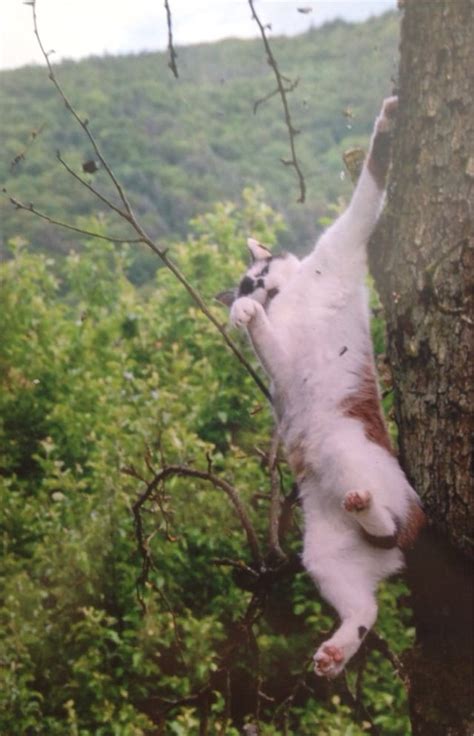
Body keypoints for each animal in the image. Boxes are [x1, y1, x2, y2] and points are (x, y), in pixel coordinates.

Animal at [218, 98, 426, 680]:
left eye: (259, 272)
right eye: (247, 283)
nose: (256, 290)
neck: (289, 297)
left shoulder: (346, 237)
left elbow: (370, 182)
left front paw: (387, 119)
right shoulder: (280, 368)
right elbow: (264, 336)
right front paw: (245, 316)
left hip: (341, 451)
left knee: (396, 524)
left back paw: (366, 505)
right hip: (324, 560)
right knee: (366, 606)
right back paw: (333, 655)